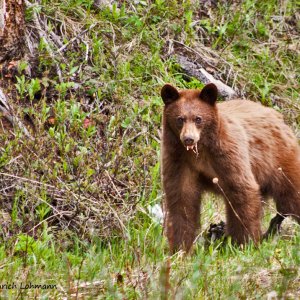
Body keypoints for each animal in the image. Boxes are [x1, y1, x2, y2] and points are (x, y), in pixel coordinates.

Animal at [161, 83, 300, 254]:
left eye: (198, 119)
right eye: (180, 119)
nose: (189, 139)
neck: (200, 152)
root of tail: (279, 117)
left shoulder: (228, 152)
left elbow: (242, 190)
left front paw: (244, 244)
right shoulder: (179, 160)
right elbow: (182, 199)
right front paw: (180, 249)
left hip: (279, 159)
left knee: (292, 193)